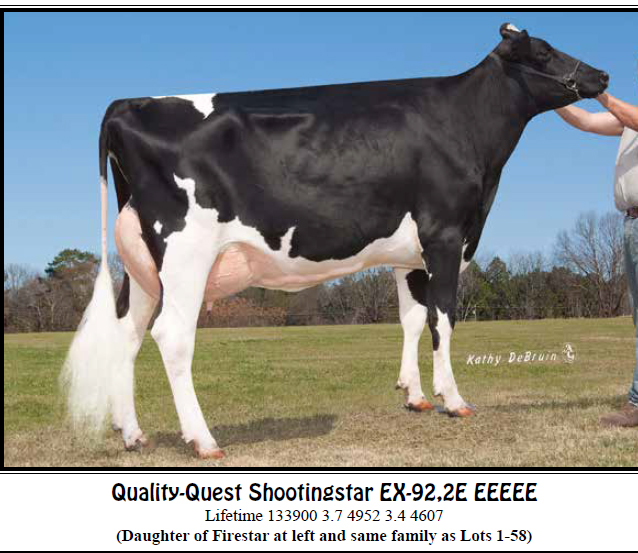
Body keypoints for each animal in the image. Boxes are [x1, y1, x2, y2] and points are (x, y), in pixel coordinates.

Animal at [62, 23, 608, 459]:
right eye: (544, 52)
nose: (602, 76)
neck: (463, 126)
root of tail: (128, 104)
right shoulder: (447, 236)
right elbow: (443, 320)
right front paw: (453, 400)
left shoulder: (409, 255)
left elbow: (411, 320)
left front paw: (414, 395)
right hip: (185, 254)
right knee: (172, 337)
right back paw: (203, 439)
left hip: (142, 266)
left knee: (128, 336)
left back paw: (133, 434)